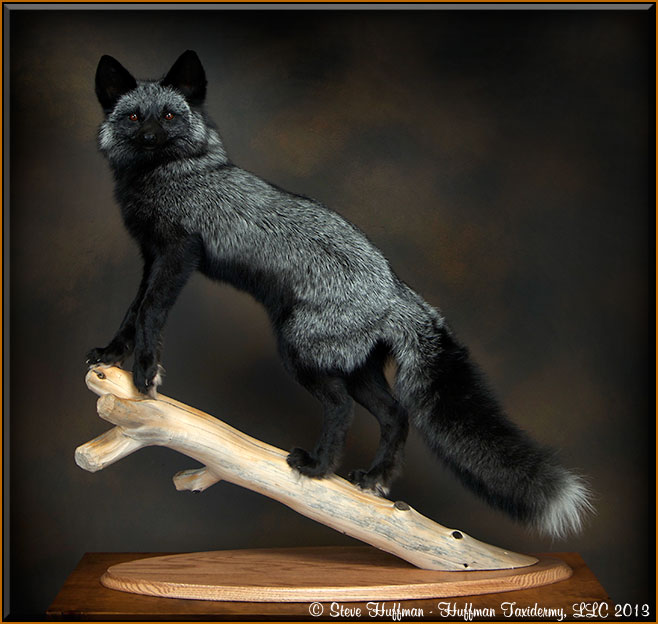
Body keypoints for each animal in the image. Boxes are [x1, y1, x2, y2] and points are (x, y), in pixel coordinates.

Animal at [87, 50, 592, 539]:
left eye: (170, 115)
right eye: (134, 117)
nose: (150, 137)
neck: (170, 175)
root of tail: (397, 292)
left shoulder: (179, 252)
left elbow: (151, 313)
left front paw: (146, 372)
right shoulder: (151, 256)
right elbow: (132, 312)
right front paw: (111, 355)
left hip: (300, 351)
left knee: (342, 409)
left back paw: (318, 468)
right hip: (357, 370)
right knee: (396, 415)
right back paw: (375, 478)